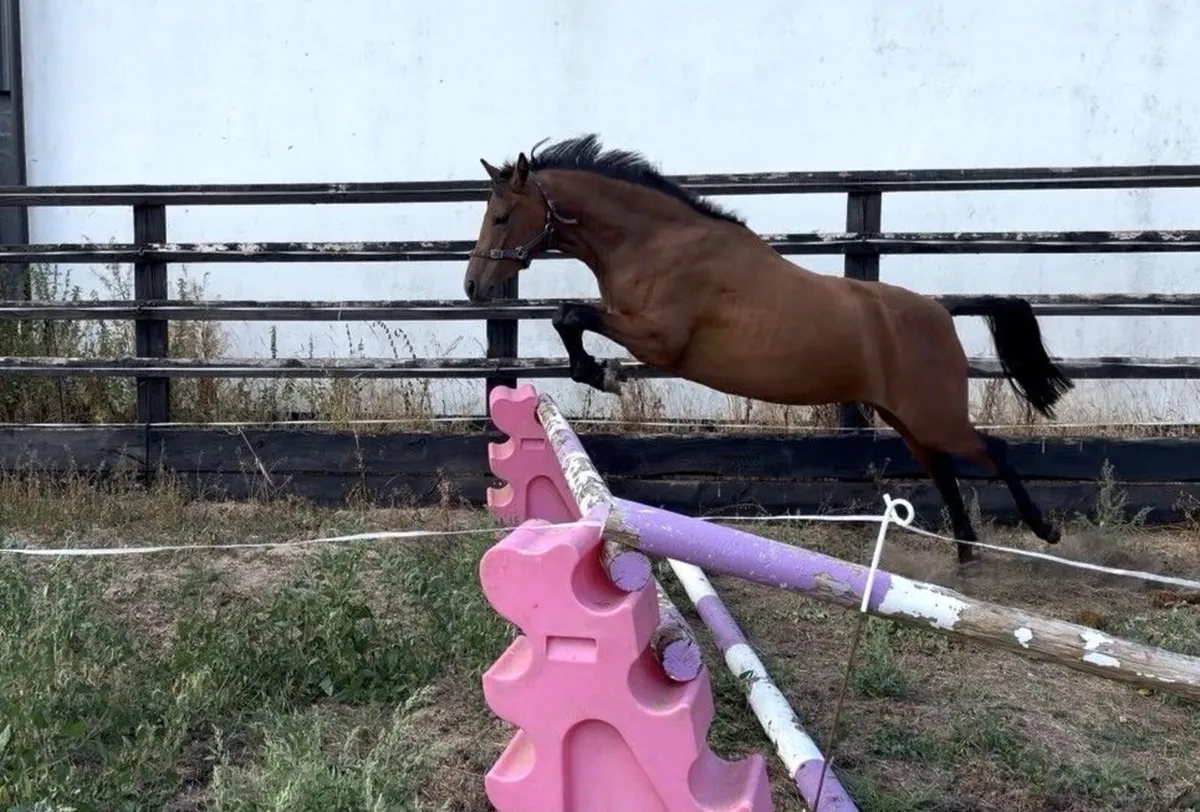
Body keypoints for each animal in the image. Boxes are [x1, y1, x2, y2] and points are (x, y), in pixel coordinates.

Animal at [462, 134, 1074, 566]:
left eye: (501, 216)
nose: (474, 287)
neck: (657, 243)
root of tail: (941, 310)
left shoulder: (658, 339)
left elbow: (568, 314)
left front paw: (602, 373)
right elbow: (566, 316)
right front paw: (597, 371)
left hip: (934, 416)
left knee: (993, 450)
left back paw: (1043, 530)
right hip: (908, 421)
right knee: (944, 471)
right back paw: (966, 556)